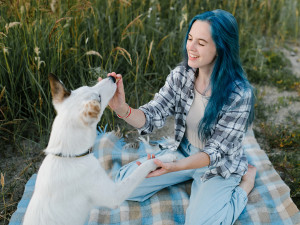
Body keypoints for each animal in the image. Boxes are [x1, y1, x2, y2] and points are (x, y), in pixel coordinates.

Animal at [23, 74, 176, 225]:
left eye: (87, 86)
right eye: (99, 98)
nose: (112, 78)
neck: (69, 155)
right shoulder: (114, 195)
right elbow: (142, 167)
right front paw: (167, 157)